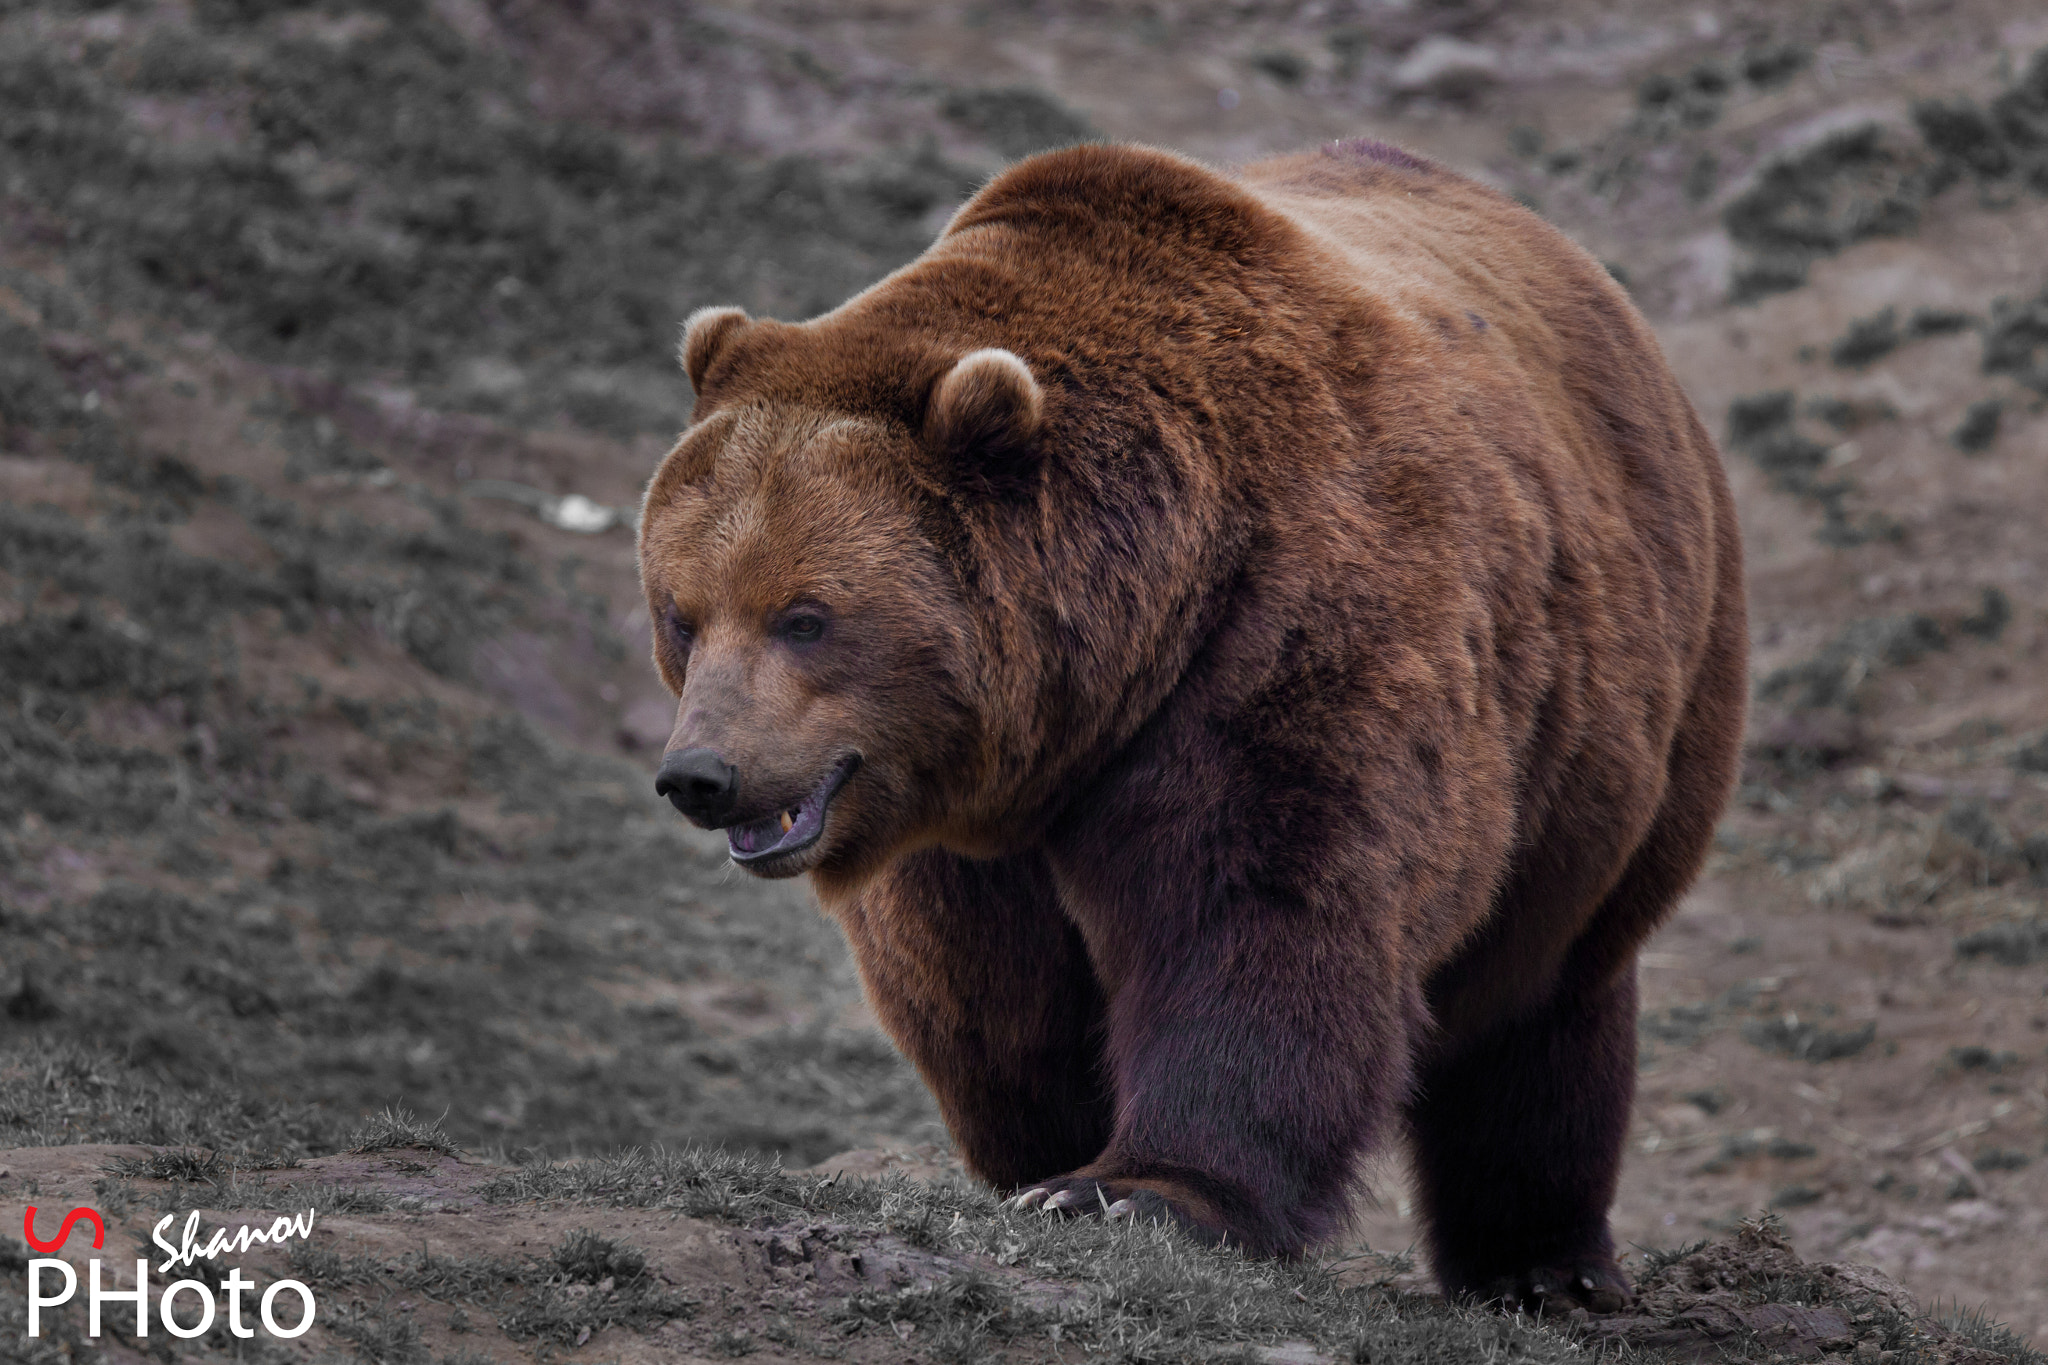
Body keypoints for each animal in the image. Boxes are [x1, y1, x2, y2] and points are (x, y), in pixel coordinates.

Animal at [637, 138, 1746, 1312]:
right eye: (682, 612)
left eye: (805, 616)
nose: (702, 772)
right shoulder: (957, 829)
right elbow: (988, 992)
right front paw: (1044, 1163)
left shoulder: (1286, 631)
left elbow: (1261, 907)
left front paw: (1137, 1190)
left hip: (1622, 744)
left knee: (1541, 1011)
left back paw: (1543, 1264)